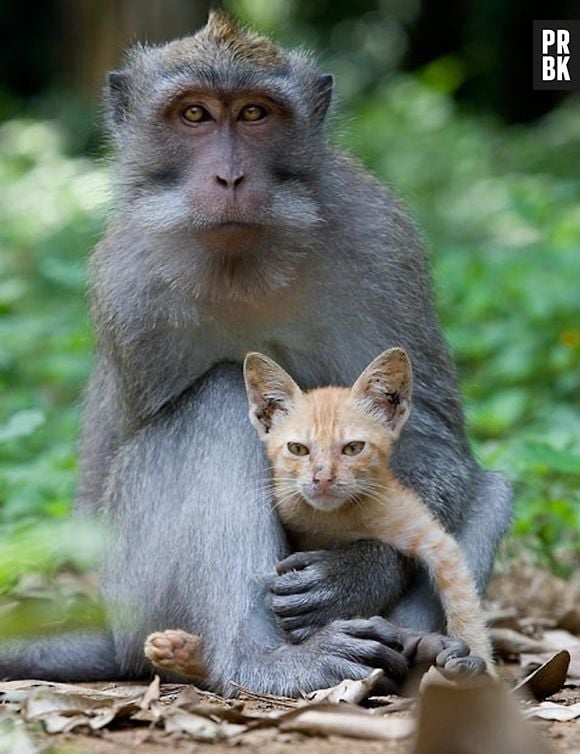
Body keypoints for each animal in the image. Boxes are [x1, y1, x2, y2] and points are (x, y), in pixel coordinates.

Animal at [244, 348, 494, 668]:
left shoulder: (433, 537)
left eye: (353, 448)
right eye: (297, 449)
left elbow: (463, 600)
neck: (333, 519)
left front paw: (478, 657)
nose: (322, 478)